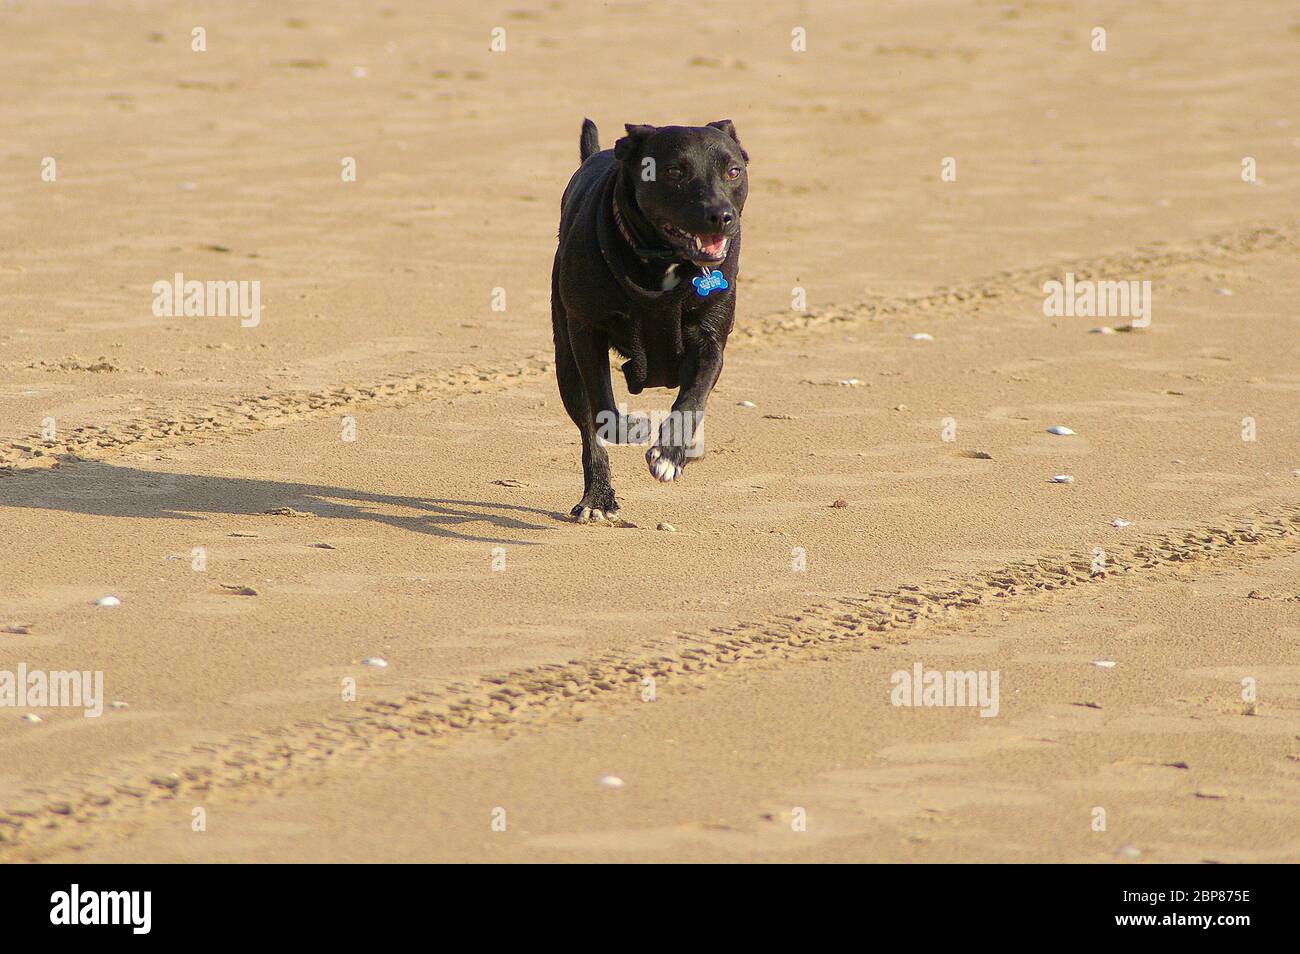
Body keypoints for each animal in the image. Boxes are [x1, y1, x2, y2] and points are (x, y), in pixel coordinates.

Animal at [551, 120, 754, 527]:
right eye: (675, 172)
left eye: (733, 171)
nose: (721, 215)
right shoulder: (585, 333)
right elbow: (602, 410)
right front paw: (629, 430)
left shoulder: (710, 345)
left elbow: (692, 401)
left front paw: (670, 454)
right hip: (565, 359)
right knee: (588, 429)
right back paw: (598, 499)